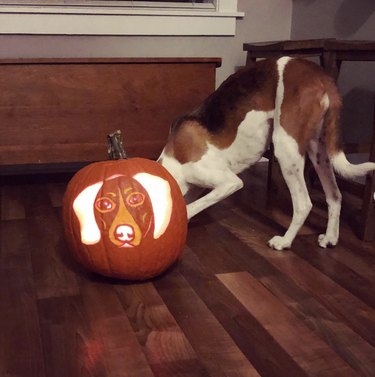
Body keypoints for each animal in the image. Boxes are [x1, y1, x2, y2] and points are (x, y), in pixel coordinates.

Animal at [158, 56, 375, 250]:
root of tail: (319, 73)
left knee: (303, 204)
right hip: (318, 150)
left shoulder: (228, 182)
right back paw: (330, 238)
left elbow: (190, 207)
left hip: (285, 147)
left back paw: (284, 242)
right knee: (335, 196)